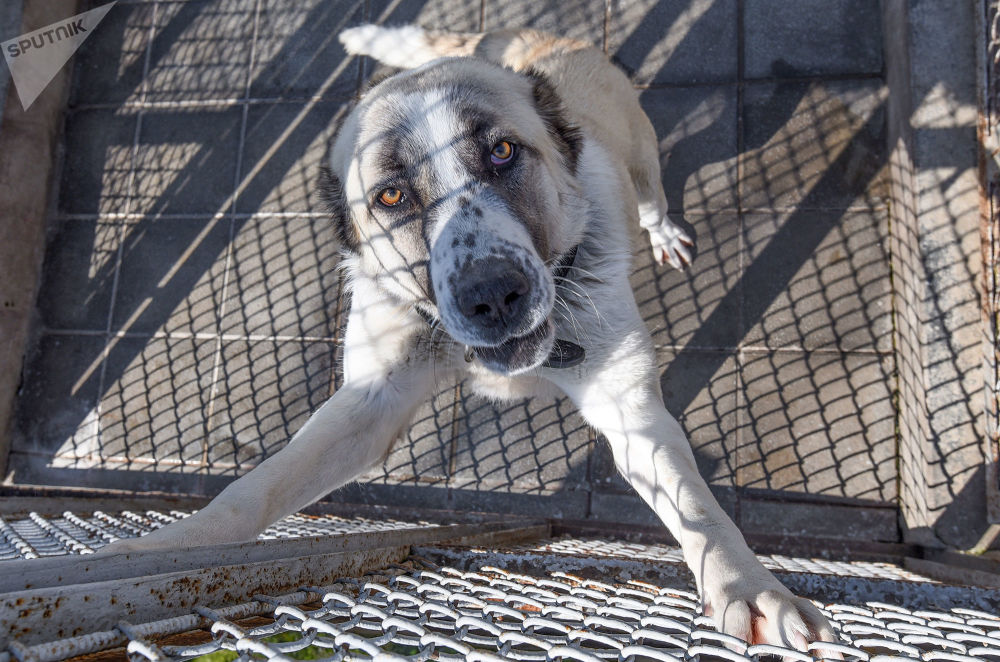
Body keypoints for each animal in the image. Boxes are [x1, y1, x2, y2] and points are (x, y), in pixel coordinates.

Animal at [103, 27, 836, 652]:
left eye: (503, 151)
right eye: (391, 195)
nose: (492, 294)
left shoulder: (630, 410)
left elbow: (697, 509)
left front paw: (750, 587)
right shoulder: (368, 403)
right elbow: (255, 490)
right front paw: (156, 554)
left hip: (642, 152)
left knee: (652, 195)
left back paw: (661, 233)